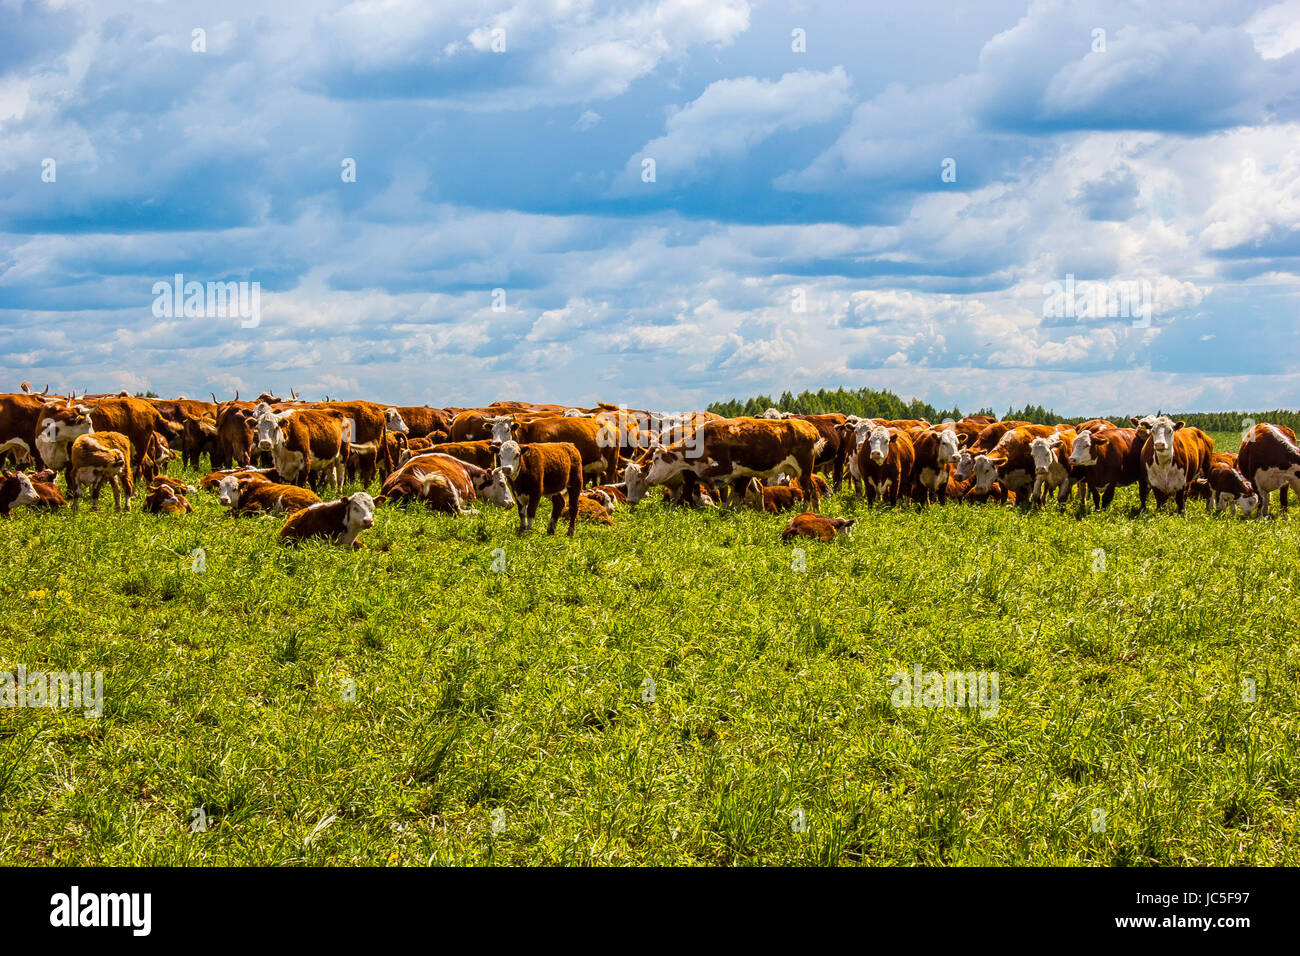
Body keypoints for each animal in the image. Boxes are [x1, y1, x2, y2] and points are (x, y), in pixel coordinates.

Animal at [642, 416, 821, 512]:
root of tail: (808, 427)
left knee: (809, 490)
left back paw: (805, 511)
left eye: (656, 460)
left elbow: (732, 495)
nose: (647, 479)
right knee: (813, 490)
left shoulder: (733, 472)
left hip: (804, 469)